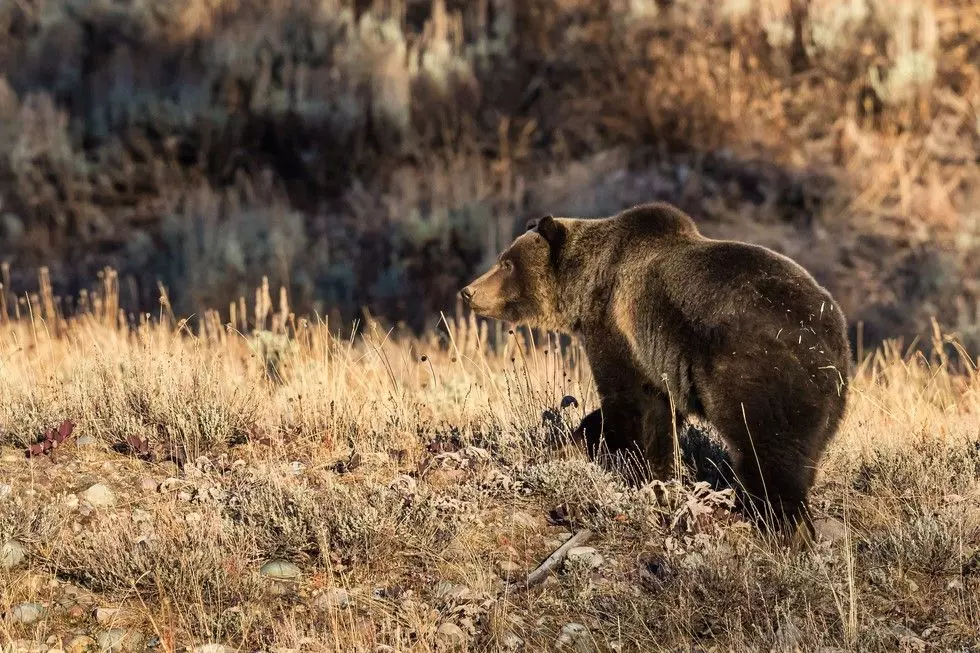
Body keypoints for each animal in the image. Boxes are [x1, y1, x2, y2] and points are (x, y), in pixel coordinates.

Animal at [459, 201, 850, 540]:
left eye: (506, 263)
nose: (468, 291)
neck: (587, 285)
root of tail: (828, 335)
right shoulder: (661, 364)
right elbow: (661, 416)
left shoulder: (620, 328)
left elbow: (628, 403)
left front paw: (624, 462)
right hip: (826, 401)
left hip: (757, 371)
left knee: (768, 451)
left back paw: (783, 527)